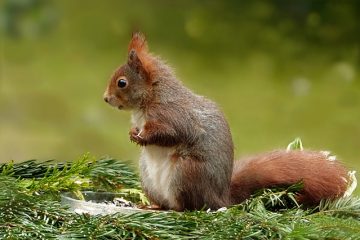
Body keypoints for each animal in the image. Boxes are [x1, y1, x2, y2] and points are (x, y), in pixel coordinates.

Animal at [102, 32, 350, 211]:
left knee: (188, 206)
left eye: (122, 83)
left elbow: (169, 134)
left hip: (186, 172)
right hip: (148, 176)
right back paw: (151, 205)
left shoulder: (174, 117)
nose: (105, 98)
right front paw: (133, 132)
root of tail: (220, 199)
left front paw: (142, 137)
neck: (152, 98)